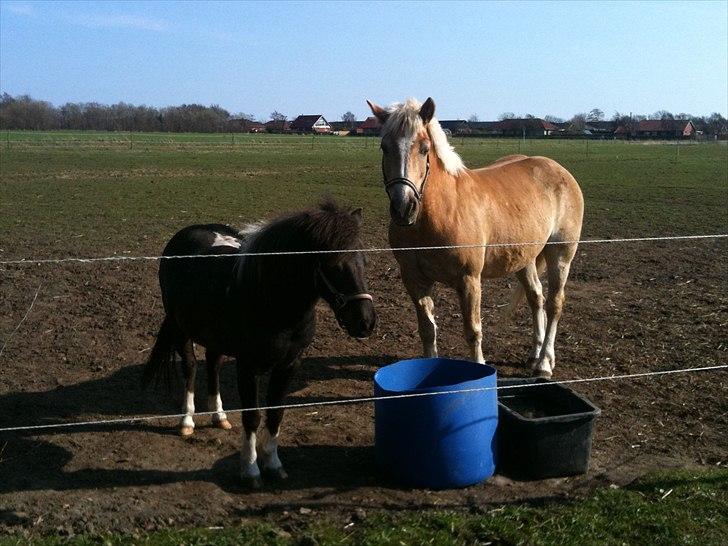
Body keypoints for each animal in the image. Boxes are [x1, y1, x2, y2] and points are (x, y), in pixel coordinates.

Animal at [146, 200, 378, 484]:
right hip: (180, 329)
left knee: (213, 364)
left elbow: (276, 413)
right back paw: (187, 421)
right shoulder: (248, 366)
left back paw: (219, 417)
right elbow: (252, 416)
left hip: (215, 337)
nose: (365, 321)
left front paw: (274, 464)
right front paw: (250, 469)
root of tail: (185, 234)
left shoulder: (289, 364)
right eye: (332, 264)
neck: (270, 301)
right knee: (190, 367)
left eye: (363, 260)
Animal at [366, 98, 584, 376]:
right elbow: (427, 330)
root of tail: (559, 170)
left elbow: (472, 331)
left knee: (555, 303)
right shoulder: (414, 280)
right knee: (536, 297)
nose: (404, 208)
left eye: (425, 149)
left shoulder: (468, 280)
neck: (440, 213)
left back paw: (545, 363)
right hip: (524, 258)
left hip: (561, 254)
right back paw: (535, 355)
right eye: (384, 147)